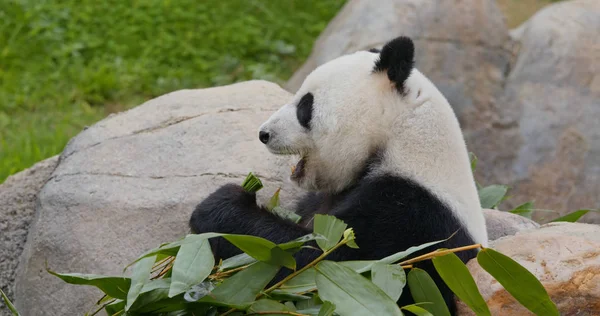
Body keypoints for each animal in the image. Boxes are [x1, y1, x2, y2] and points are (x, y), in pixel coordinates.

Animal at [190, 35, 490, 312]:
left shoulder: (416, 220)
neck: (400, 139)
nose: (264, 133)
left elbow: (321, 264)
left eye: (305, 106)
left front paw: (222, 204)